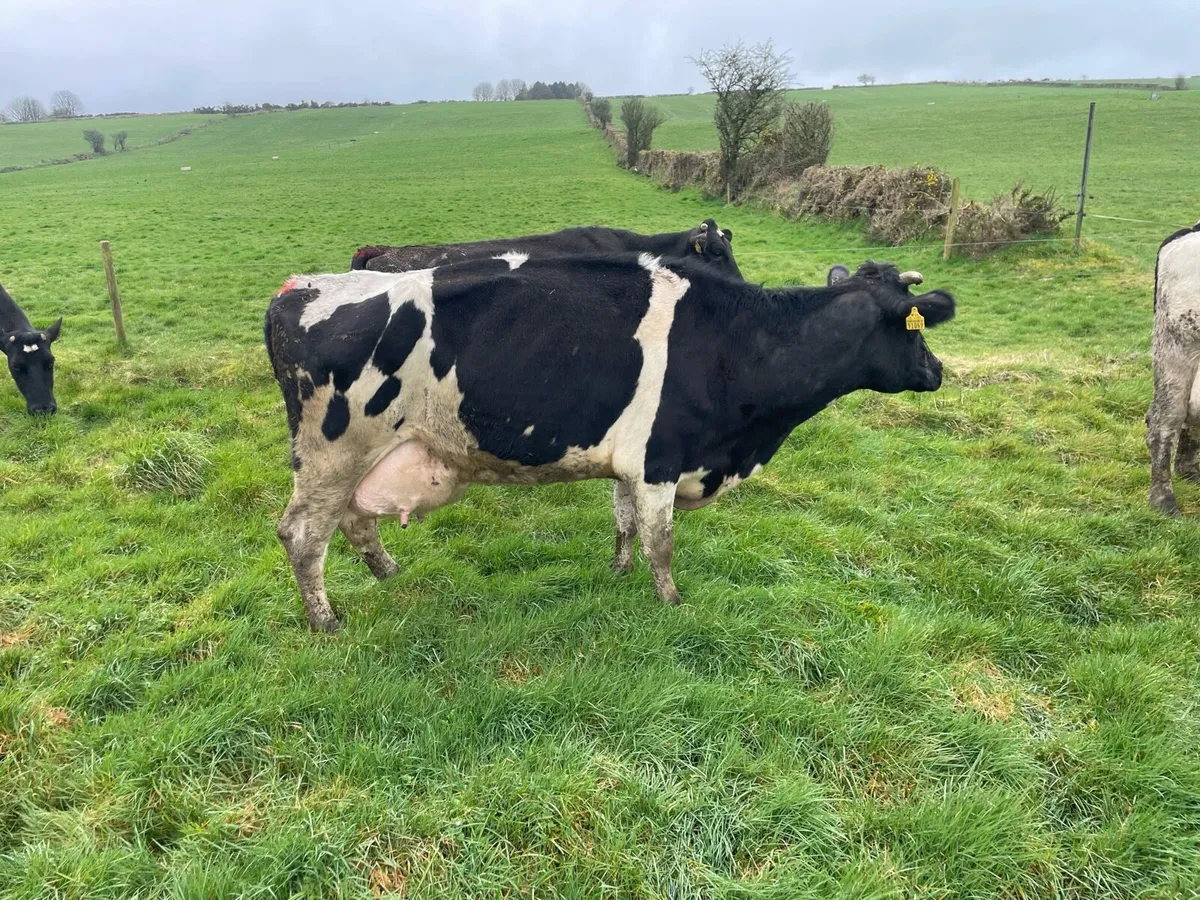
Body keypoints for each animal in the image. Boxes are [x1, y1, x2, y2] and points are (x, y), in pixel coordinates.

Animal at [265, 256, 955, 632]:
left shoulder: (631, 463)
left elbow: (623, 522)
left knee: (354, 521)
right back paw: (326, 620)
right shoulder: (659, 459)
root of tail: (300, 287)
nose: (938, 370)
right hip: (331, 454)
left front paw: (617, 574)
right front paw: (671, 602)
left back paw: (390, 574)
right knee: (303, 535)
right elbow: (661, 541)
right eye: (914, 329)